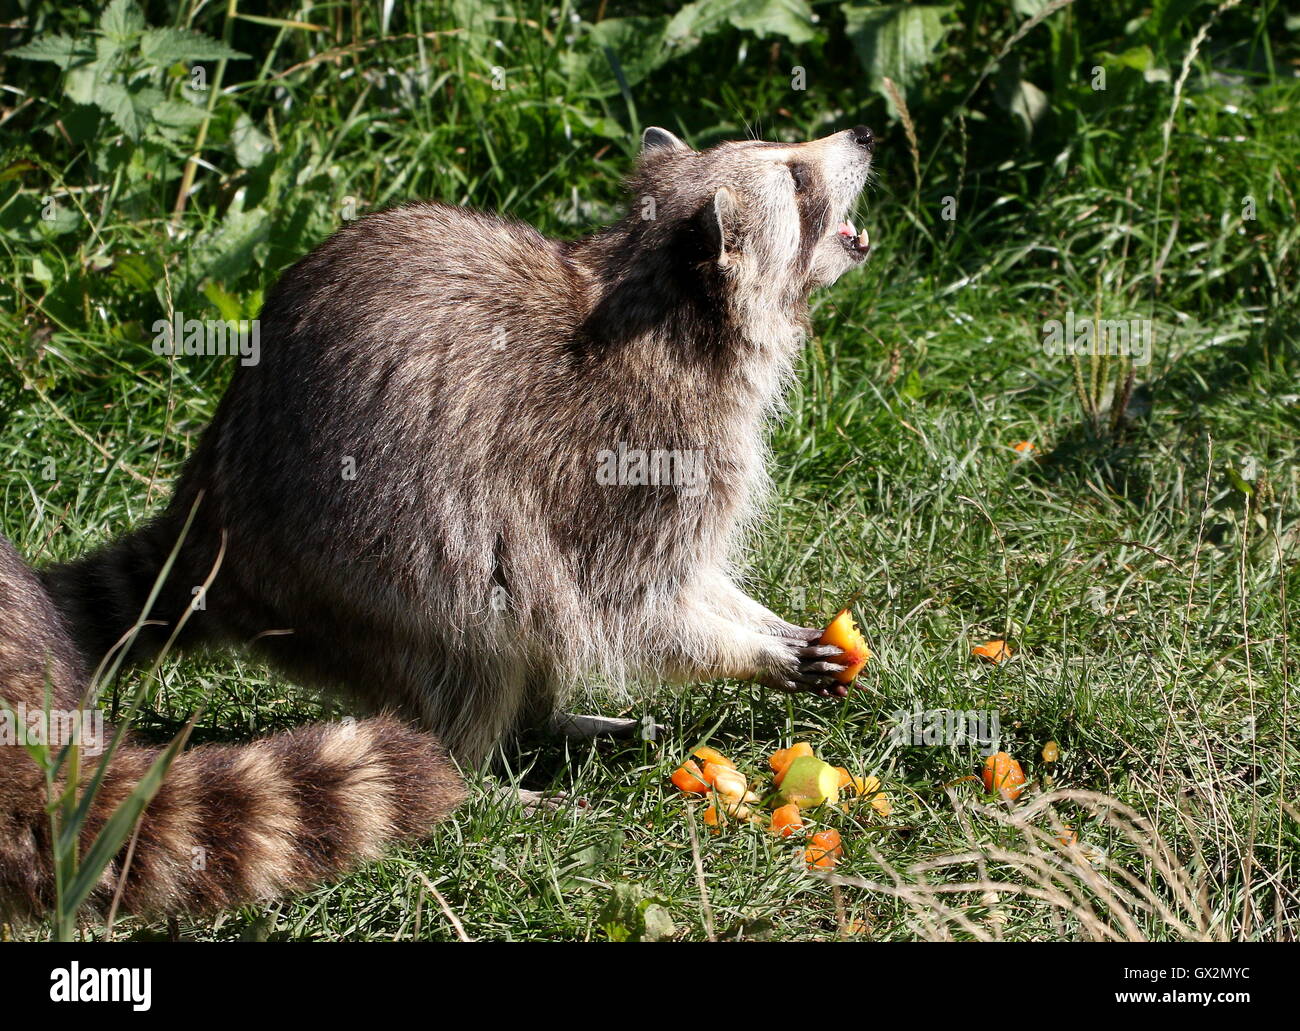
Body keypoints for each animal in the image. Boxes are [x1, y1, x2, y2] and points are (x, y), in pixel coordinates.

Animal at [40, 124, 878, 764]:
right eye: (798, 179)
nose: (865, 134)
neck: (676, 311)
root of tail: (212, 508)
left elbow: (691, 579)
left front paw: (766, 622)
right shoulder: (638, 455)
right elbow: (631, 604)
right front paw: (749, 650)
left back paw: (546, 719)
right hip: (358, 570)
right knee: (477, 624)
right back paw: (481, 774)